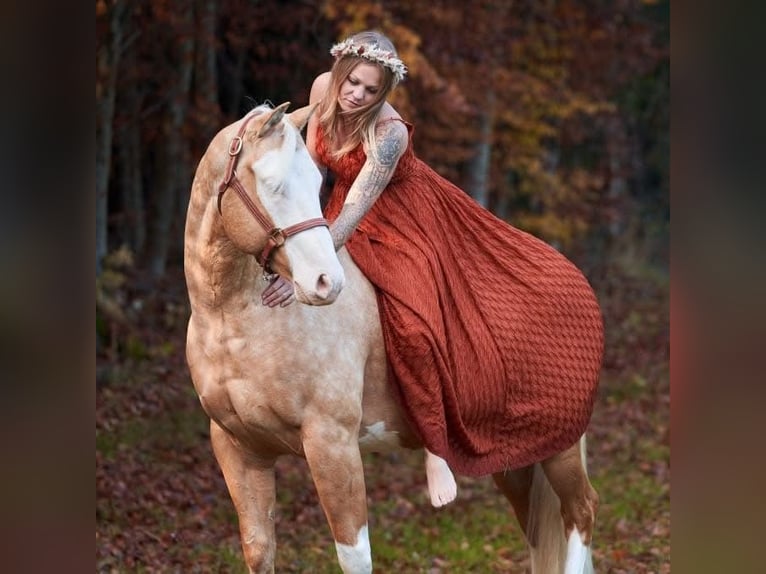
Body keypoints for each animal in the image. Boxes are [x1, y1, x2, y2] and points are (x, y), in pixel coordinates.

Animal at [184, 102, 599, 574]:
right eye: (274, 185)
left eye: (314, 182)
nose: (326, 282)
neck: (234, 322)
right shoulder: (239, 451)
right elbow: (259, 549)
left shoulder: (333, 445)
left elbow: (354, 555)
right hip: (513, 457)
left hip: (560, 448)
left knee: (581, 511)